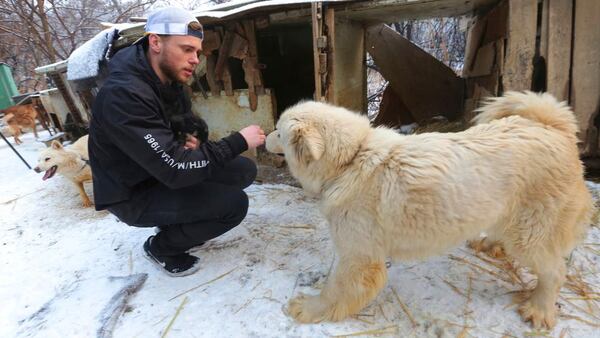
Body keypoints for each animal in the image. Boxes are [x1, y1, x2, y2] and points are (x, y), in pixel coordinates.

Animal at [264, 91, 592, 328]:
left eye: (279, 132)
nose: (263, 134)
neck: (352, 159)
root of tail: (552, 127)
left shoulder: (358, 257)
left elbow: (334, 289)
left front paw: (308, 308)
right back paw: (489, 244)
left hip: (531, 234)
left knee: (554, 272)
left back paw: (539, 309)